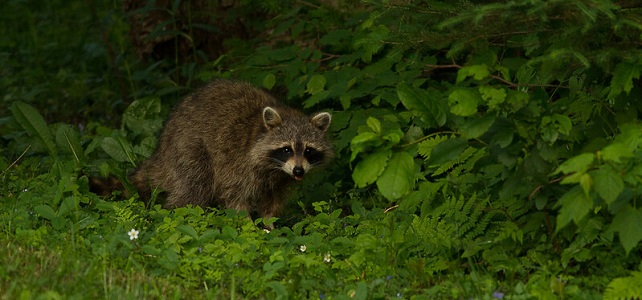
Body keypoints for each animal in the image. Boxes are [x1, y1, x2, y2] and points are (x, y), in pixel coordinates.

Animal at [128, 78, 332, 224]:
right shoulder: (236, 161)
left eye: (308, 150)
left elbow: (271, 203)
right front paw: (250, 228)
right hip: (189, 148)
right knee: (193, 187)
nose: (299, 171)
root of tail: (164, 140)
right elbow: (235, 196)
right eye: (287, 149)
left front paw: (270, 226)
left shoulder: (279, 181)